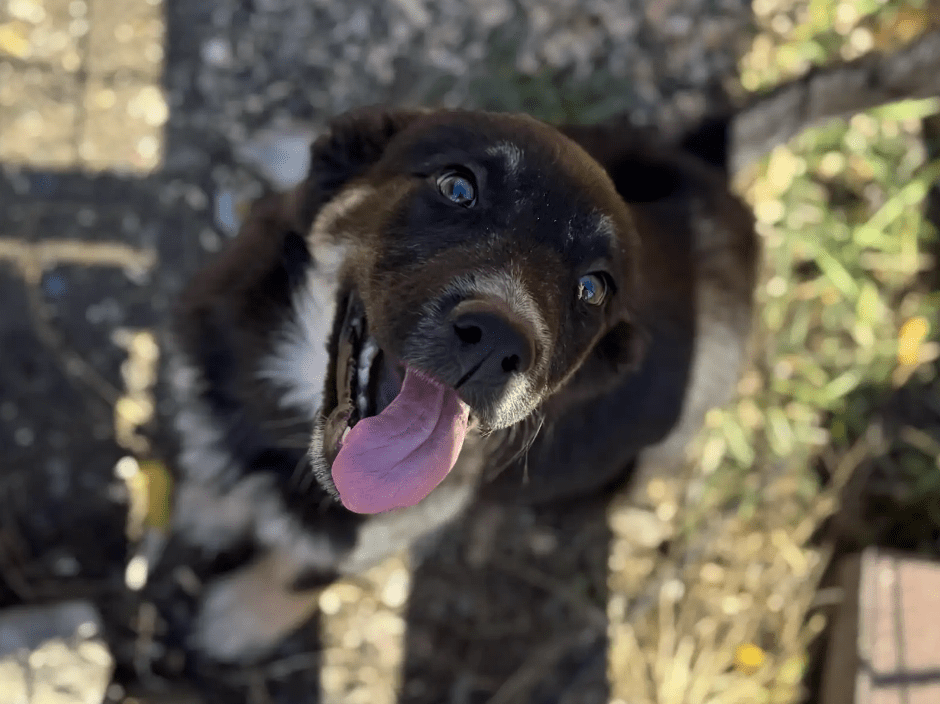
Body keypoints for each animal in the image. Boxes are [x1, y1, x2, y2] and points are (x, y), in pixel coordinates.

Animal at [160, 107, 756, 664]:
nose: (498, 341)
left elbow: (302, 572)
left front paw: (239, 619)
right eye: (458, 188)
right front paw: (209, 507)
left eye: (593, 288)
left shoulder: (376, 532)